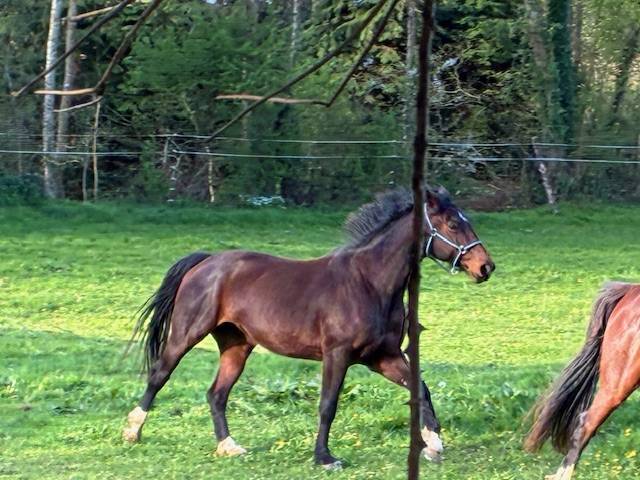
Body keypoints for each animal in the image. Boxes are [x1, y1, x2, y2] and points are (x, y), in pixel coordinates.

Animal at [122, 187, 495, 468]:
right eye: (452, 224)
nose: (486, 267)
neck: (369, 283)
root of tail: (206, 262)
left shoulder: (383, 357)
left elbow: (421, 389)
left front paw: (433, 444)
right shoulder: (338, 354)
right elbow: (328, 405)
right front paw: (325, 458)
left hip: (236, 346)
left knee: (217, 394)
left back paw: (229, 447)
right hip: (186, 335)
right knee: (159, 374)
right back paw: (132, 432)